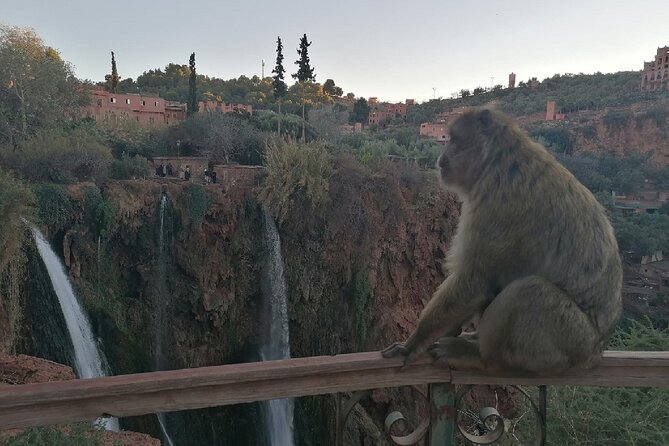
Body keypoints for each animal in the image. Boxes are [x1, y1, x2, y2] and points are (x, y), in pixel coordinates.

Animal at [382, 108, 622, 374]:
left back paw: (482, 357)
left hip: (570, 342)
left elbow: (475, 281)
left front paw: (414, 342)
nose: (441, 159)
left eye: (454, 140)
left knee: (529, 290)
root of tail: (595, 353)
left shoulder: (497, 205)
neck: (499, 163)